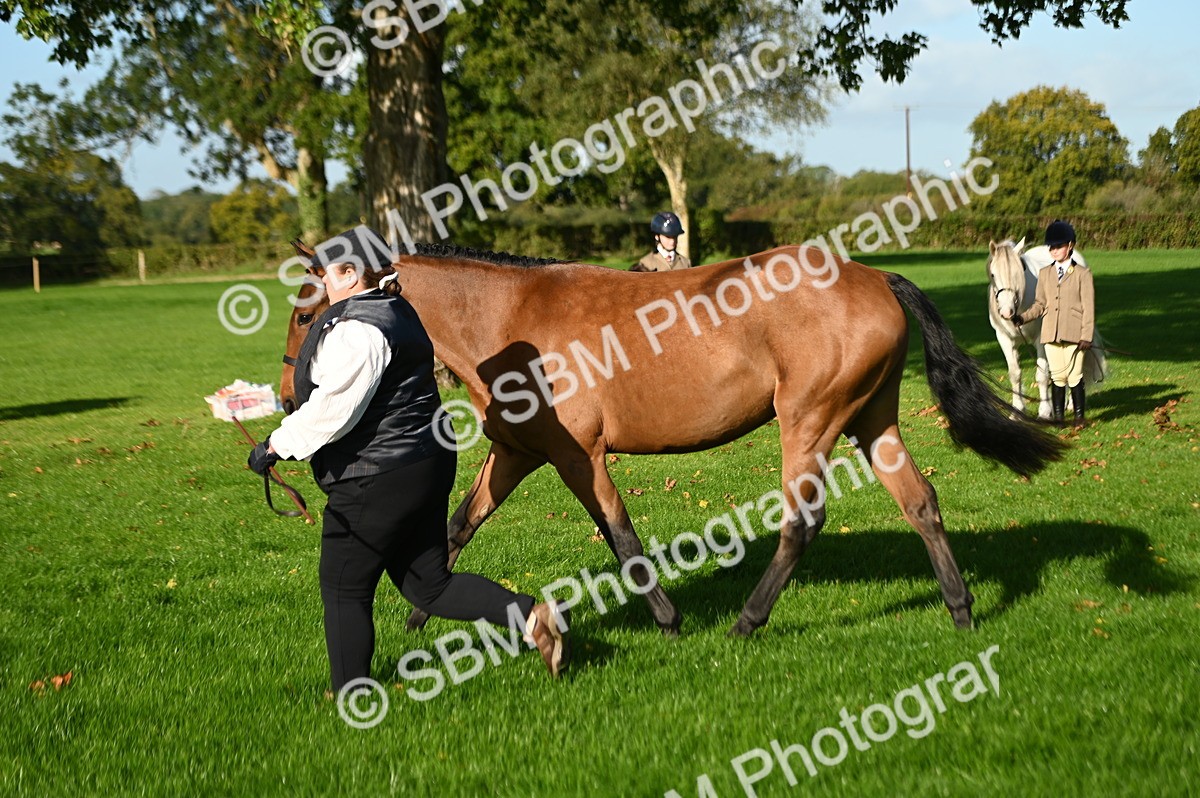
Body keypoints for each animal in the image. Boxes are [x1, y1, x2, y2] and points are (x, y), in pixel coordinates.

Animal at [280, 240, 1065, 638]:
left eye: (308, 314)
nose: (290, 396)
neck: (509, 322)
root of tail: (872, 276)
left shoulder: (577, 457)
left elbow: (619, 534)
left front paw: (668, 617)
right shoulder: (516, 454)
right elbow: (458, 525)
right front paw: (423, 610)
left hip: (809, 422)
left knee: (802, 522)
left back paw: (748, 621)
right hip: (871, 422)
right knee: (920, 500)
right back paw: (960, 610)